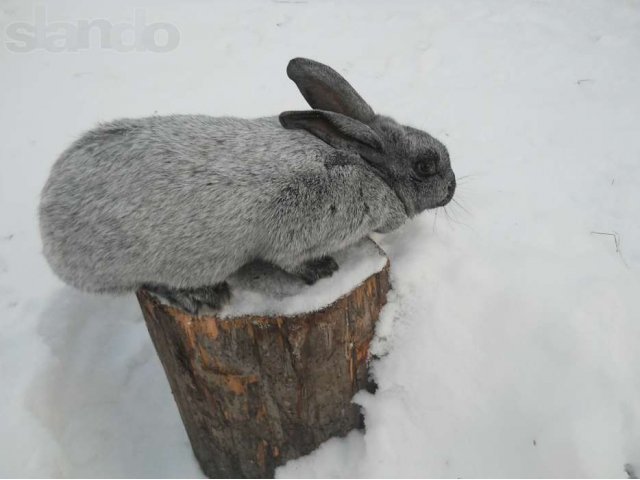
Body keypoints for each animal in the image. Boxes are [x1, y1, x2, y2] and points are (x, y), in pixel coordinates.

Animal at [38, 57, 456, 316]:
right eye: (426, 165)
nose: (452, 187)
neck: (366, 165)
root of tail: (46, 214)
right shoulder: (297, 236)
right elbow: (293, 261)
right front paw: (325, 272)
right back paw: (202, 297)